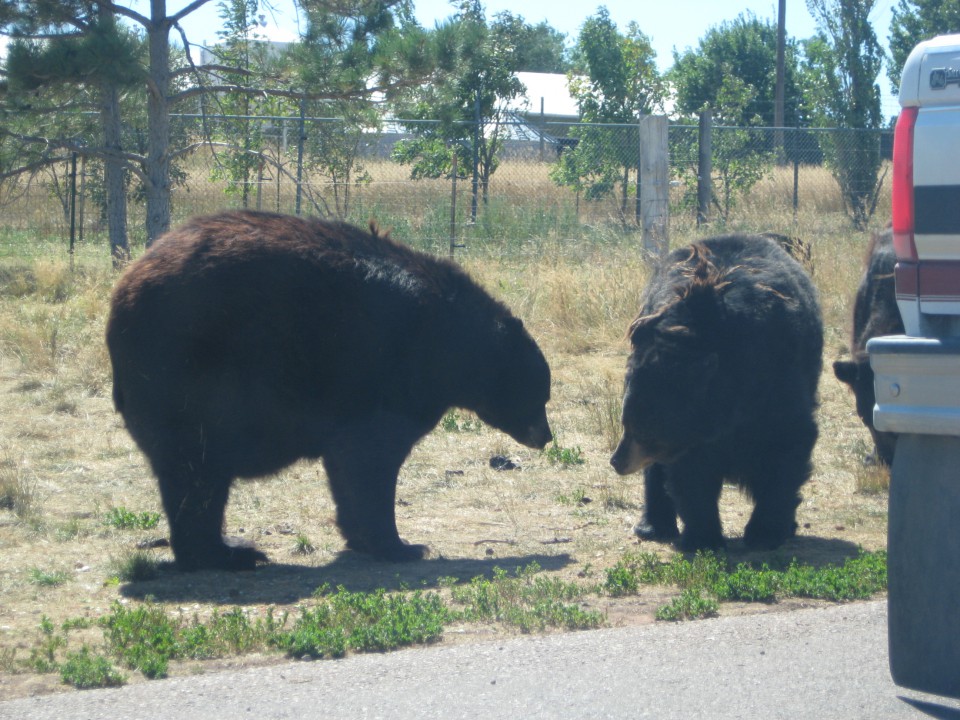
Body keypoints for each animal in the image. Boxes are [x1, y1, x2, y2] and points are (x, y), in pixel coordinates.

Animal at [106, 211, 552, 572]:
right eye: (541, 395)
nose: (546, 437)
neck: (452, 343)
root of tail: (123, 292)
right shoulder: (388, 374)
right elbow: (371, 458)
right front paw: (401, 545)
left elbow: (346, 464)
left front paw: (364, 539)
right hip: (188, 377)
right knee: (195, 472)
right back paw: (229, 554)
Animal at [612, 236, 820, 552]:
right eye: (627, 424)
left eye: (645, 433)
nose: (617, 461)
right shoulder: (690, 433)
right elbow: (692, 474)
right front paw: (703, 537)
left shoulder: (779, 381)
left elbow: (785, 452)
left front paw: (765, 532)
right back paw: (652, 526)